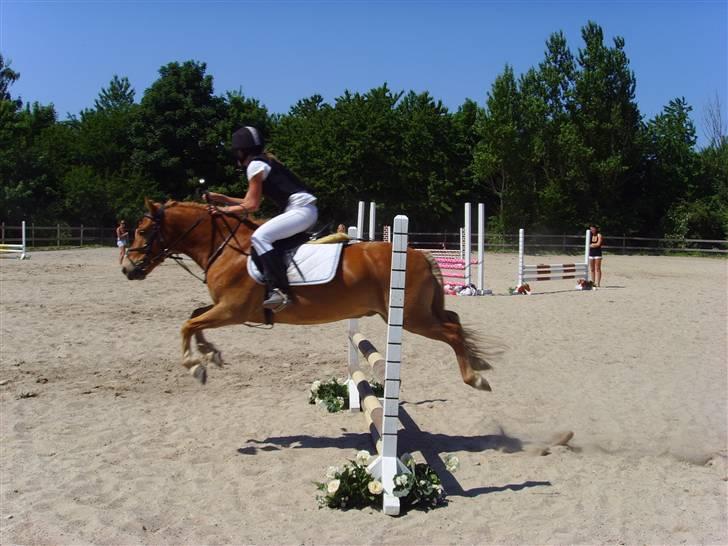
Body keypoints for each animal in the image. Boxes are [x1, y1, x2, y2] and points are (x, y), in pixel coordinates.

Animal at [122, 199, 492, 386]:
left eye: (143, 230)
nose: (128, 269)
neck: (226, 247)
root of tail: (418, 253)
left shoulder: (232, 310)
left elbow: (188, 324)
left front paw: (195, 365)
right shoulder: (222, 309)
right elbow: (194, 318)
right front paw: (210, 354)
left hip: (411, 318)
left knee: (451, 329)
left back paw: (474, 376)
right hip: (417, 313)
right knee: (454, 319)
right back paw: (479, 363)